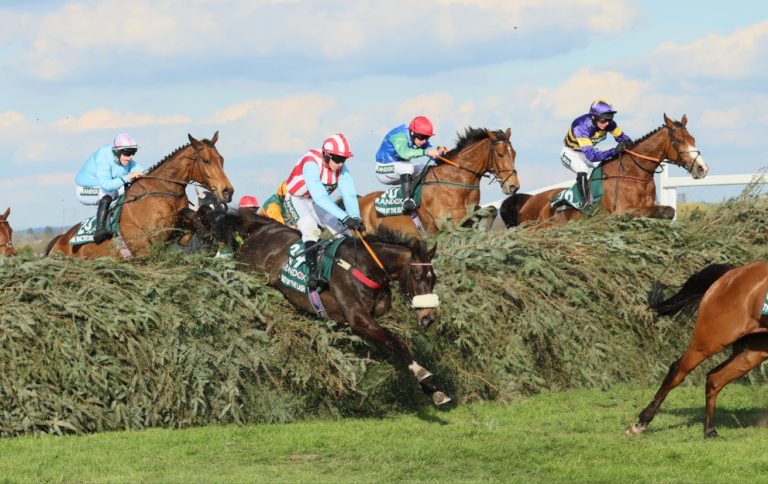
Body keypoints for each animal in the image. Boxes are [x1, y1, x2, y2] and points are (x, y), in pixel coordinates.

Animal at [46, 132, 232, 260]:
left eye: (222, 159)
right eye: (206, 161)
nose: (228, 191)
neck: (163, 189)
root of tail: (59, 240)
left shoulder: (179, 236)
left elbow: (196, 212)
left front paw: (210, 237)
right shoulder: (152, 237)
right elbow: (186, 213)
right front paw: (208, 237)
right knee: (105, 196)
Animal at [234, 212, 450, 404]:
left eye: (434, 279)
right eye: (417, 276)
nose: (428, 318)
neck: (365, 266)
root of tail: (261, 230)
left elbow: (395, 344)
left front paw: (433, 391)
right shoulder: (358, 318)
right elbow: (396, 341)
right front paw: (420, 372)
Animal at [356, 125, 520, 237]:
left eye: (514, 154)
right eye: (500, 154)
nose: (514, 186)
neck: (457, 179)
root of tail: (361, 200)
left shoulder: (471, 210)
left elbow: (492, 209)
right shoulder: (447, 221)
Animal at [498, 114, 708, 228]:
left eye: (693, 139)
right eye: (679, 141)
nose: (702, 168)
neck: (633, 174)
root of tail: (527, 201)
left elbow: (668, 211)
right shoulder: (621, 212)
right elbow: (661, 211)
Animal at [628, 260, 768, 438]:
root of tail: (730, 273)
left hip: (755, 350)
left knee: (715, 378)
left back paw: (710, 431)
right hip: (708, 341)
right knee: (677, 371)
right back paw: (641, 423)